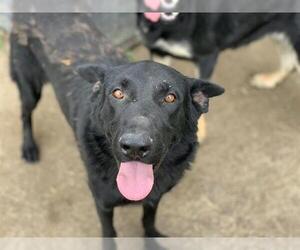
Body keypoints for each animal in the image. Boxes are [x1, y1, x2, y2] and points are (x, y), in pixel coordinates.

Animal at [10, 13, 224, 236]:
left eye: (170, 98)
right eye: (118, 93)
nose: (135, 147)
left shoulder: (154, 196)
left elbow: (149, 217)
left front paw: (151, 236)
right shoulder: (102, 201)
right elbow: (109, 232)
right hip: (30, 87)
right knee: (25, 115)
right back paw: (29, 148)